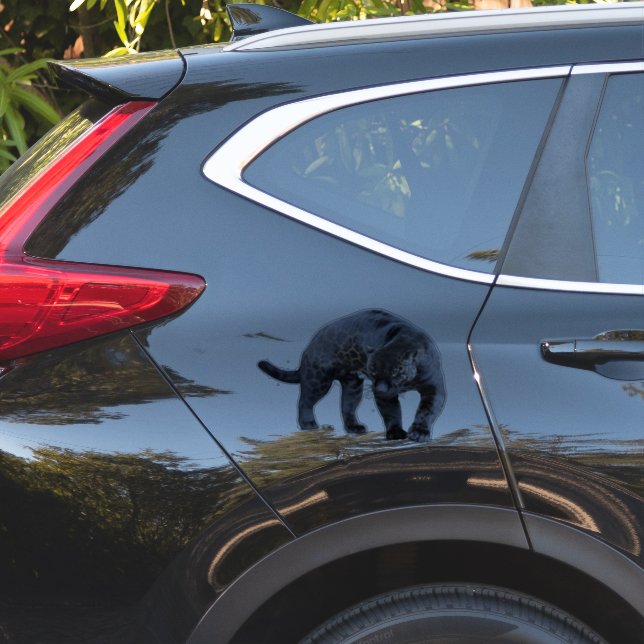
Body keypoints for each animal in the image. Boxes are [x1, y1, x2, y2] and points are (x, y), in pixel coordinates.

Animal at [258, 309, 445, 442]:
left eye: (396, 371)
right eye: (373, 370)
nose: (380, 388)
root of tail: (311, 343)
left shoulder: (433, 387)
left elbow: (426, 410)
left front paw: (419, 433)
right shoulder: (385, 396)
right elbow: (391, 412)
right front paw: (396, 432)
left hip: (353, 385)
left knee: (347, 406)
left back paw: (354, 427)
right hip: (319, 380)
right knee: (305, 401)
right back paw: (308, 424)